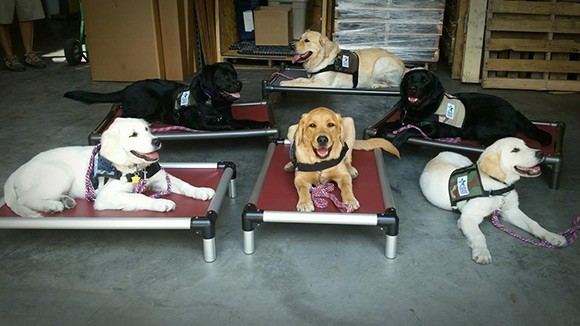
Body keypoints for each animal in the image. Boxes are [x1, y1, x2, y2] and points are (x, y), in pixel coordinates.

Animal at [62, 62, 270, 131]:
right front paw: (242, 127)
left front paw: (261, 123)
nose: (239, 83)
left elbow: (246, 119)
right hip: (148, 102)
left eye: (234, 74)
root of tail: (128, 87)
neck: (211, 101)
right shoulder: (205, 124)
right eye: (223, 77)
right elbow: (232, 125)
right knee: (123, 116)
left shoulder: (226, 116)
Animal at [376, 70, 552, 149]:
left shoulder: (433, 130)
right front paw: (379, 133)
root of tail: (514, 110)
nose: (412, 88)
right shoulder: (402, 120)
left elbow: (412, 129)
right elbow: (387, 124)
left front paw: (397, 140)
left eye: (425, 81)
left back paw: (486, 141)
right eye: (409, 79)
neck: (418, 109)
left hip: (483, 125)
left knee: (510, 134)